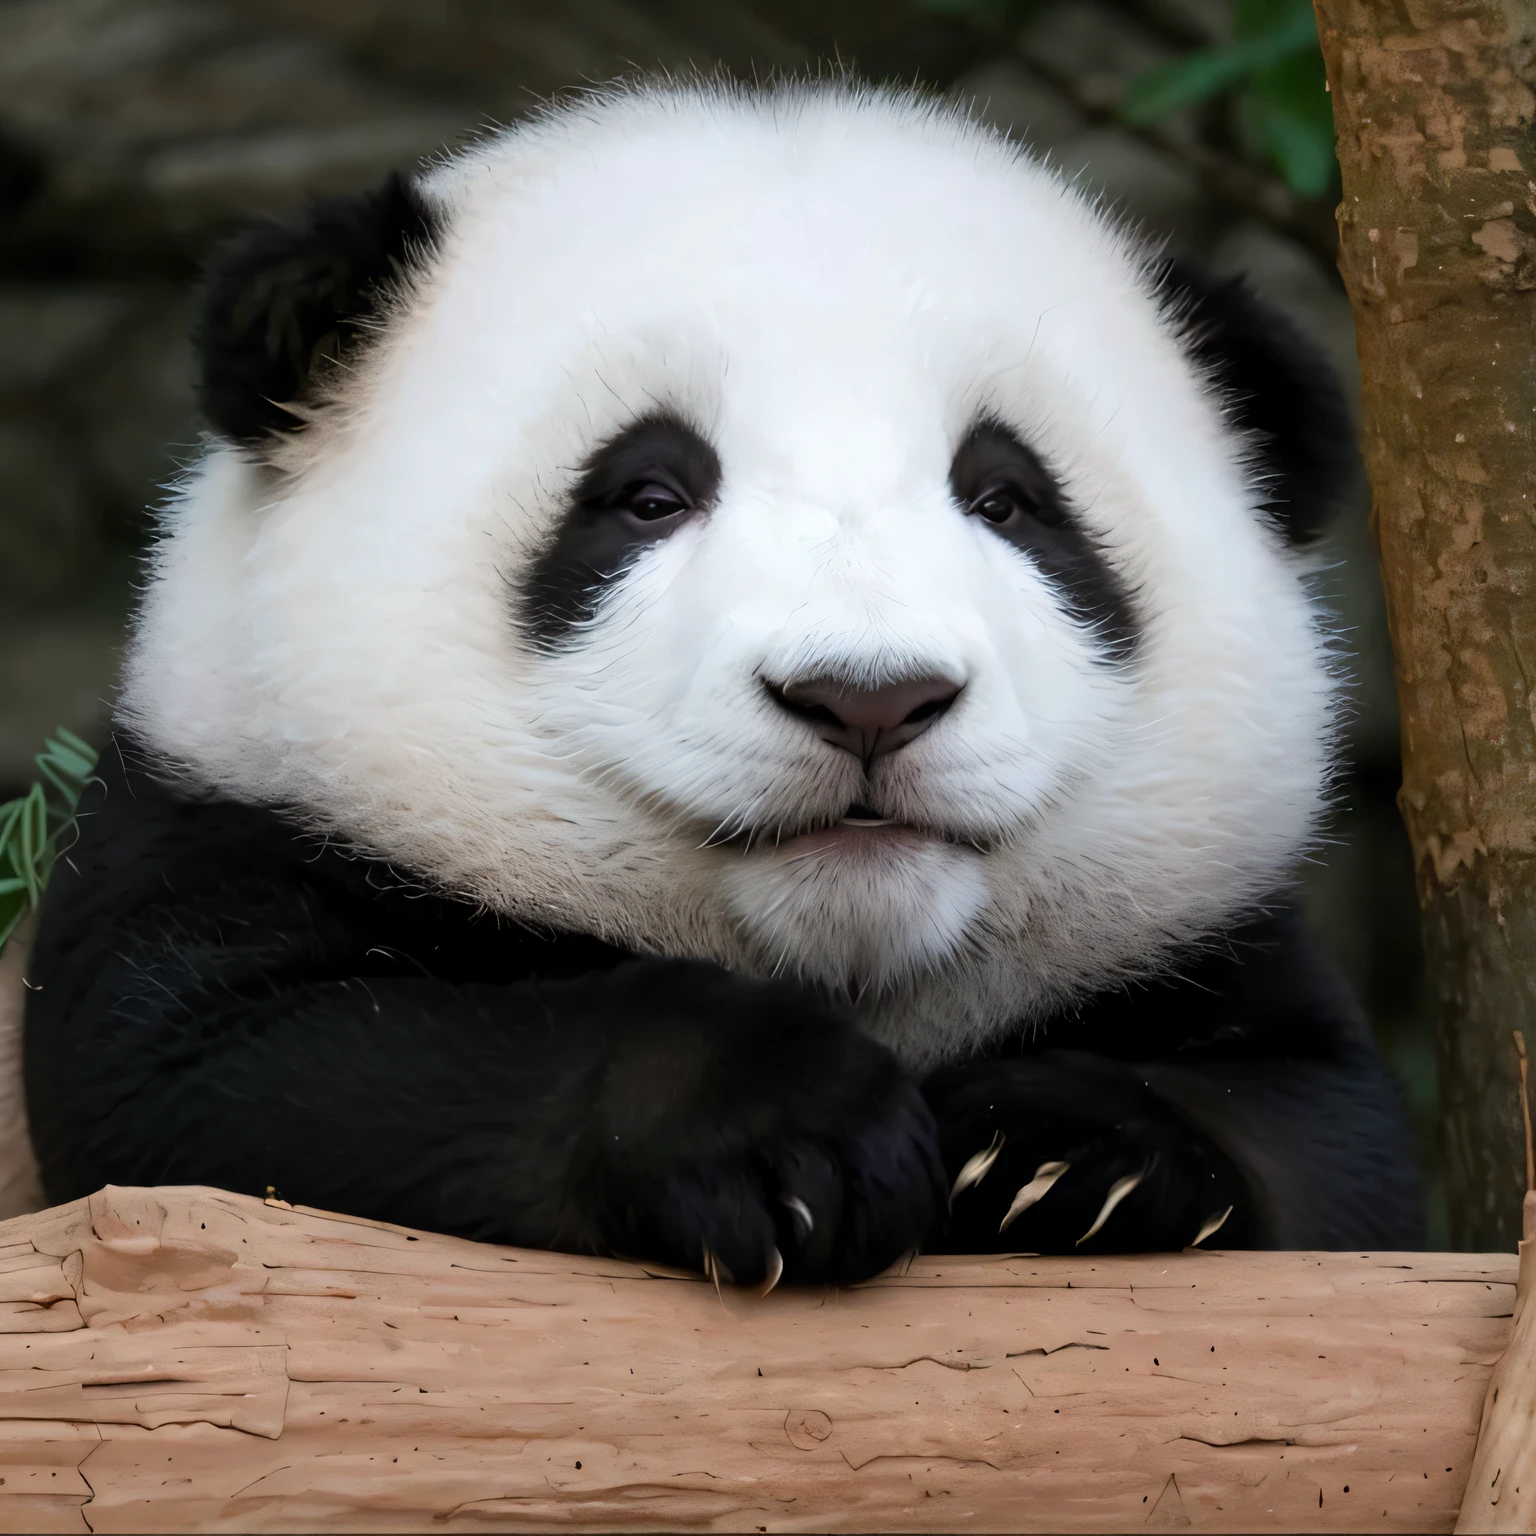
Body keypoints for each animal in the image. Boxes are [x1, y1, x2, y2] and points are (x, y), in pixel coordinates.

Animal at [21, 74, 1425, 1284]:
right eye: (647, 494)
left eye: (1008, 500)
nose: (869, 697)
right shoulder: (224, 817)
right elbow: (231, 1071)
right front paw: (784, 1135)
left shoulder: (1207, 939)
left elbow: (1335, 1139)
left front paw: (1060, 1159)